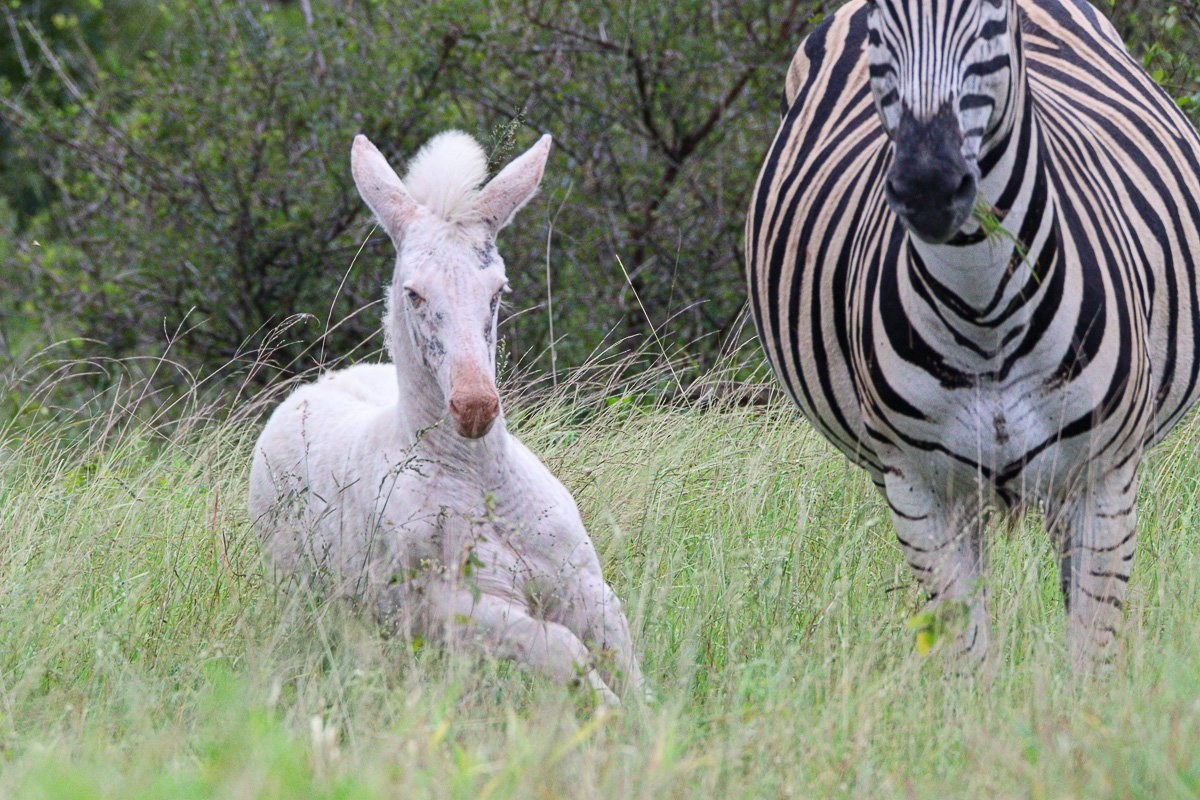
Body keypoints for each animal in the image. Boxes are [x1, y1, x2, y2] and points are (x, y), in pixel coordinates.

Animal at [745, 0, 1200, 670]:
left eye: (989, 11)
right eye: (883, 16)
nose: (928, 186)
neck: (985, 311)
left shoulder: (1104, 481)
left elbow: (1088, 664)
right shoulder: (920, 493)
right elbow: (968, 665)